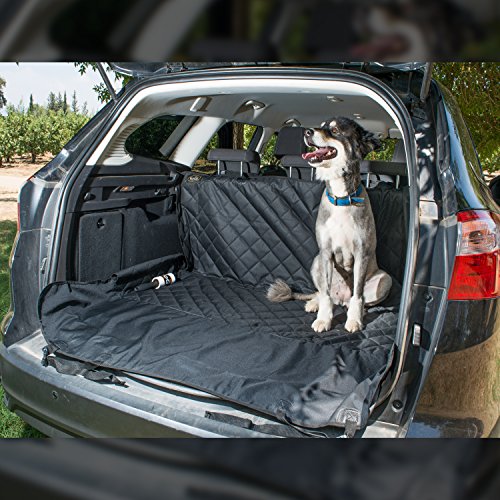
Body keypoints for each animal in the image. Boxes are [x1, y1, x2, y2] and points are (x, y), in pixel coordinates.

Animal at [267, 117, 392, 333]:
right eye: (322, 125)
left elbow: (357, 295)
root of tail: (340, 298)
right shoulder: (326, 252)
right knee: (323, 294)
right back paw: (314, 303)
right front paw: (324, 319)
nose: (307, 132)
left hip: (385, 279)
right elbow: (325, 295)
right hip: (316, 261)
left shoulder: (362, 253)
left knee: (357, 299)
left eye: (334, 130)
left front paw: (354, 319)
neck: (341, 198)